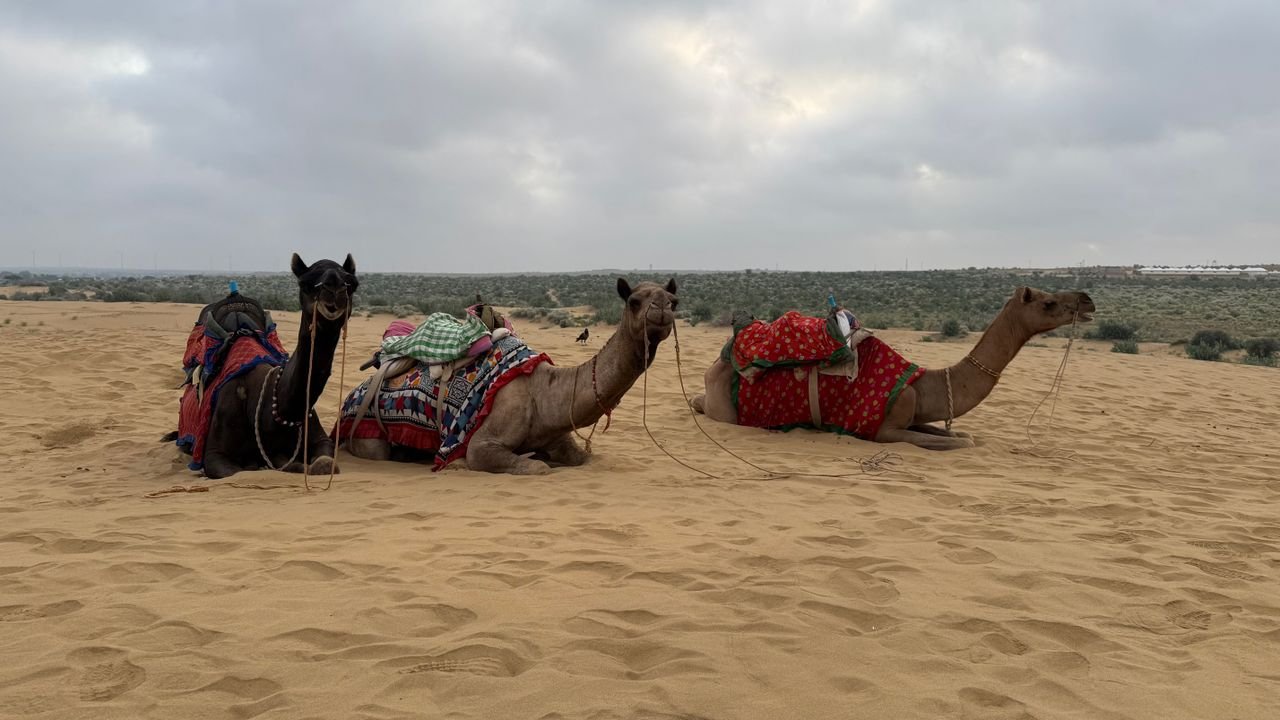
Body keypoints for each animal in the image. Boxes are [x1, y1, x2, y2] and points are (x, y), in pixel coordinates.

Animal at [181, 254, 359, 478]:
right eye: (305, 284)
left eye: (352, 283)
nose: (334, 289)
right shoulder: (214, 455)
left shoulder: (321, 439)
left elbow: (325, 463)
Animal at [345, 278, 678, 475]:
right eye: (634, 301)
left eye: (674, 300)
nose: (662, 308)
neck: (543, 393)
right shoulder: (483, 443)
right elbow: (537, 467)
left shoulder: (558, 436)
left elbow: (584, 457)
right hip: (369, 437)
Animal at [693, 287, 1095, 450]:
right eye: (1047, 302)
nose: (1087, 300)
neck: (924, 383)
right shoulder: (884, 430)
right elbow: (961, 442)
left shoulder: (913, 414)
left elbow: (960, 434)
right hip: (726, 411)